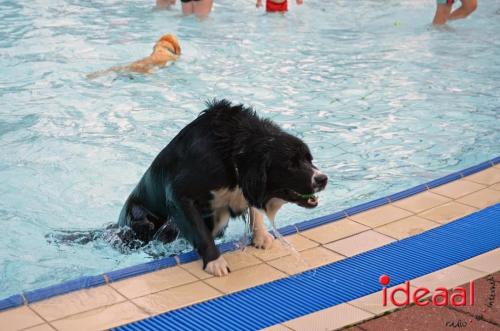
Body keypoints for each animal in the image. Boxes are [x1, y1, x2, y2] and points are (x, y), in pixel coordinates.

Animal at [118, 100, 328, 276]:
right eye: (291, 164)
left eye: (309, 159)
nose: (322, 179)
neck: (233, 150)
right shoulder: (180, 195)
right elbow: (200, 230)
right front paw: (214, 261)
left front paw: (260, 235)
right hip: (142, 219)